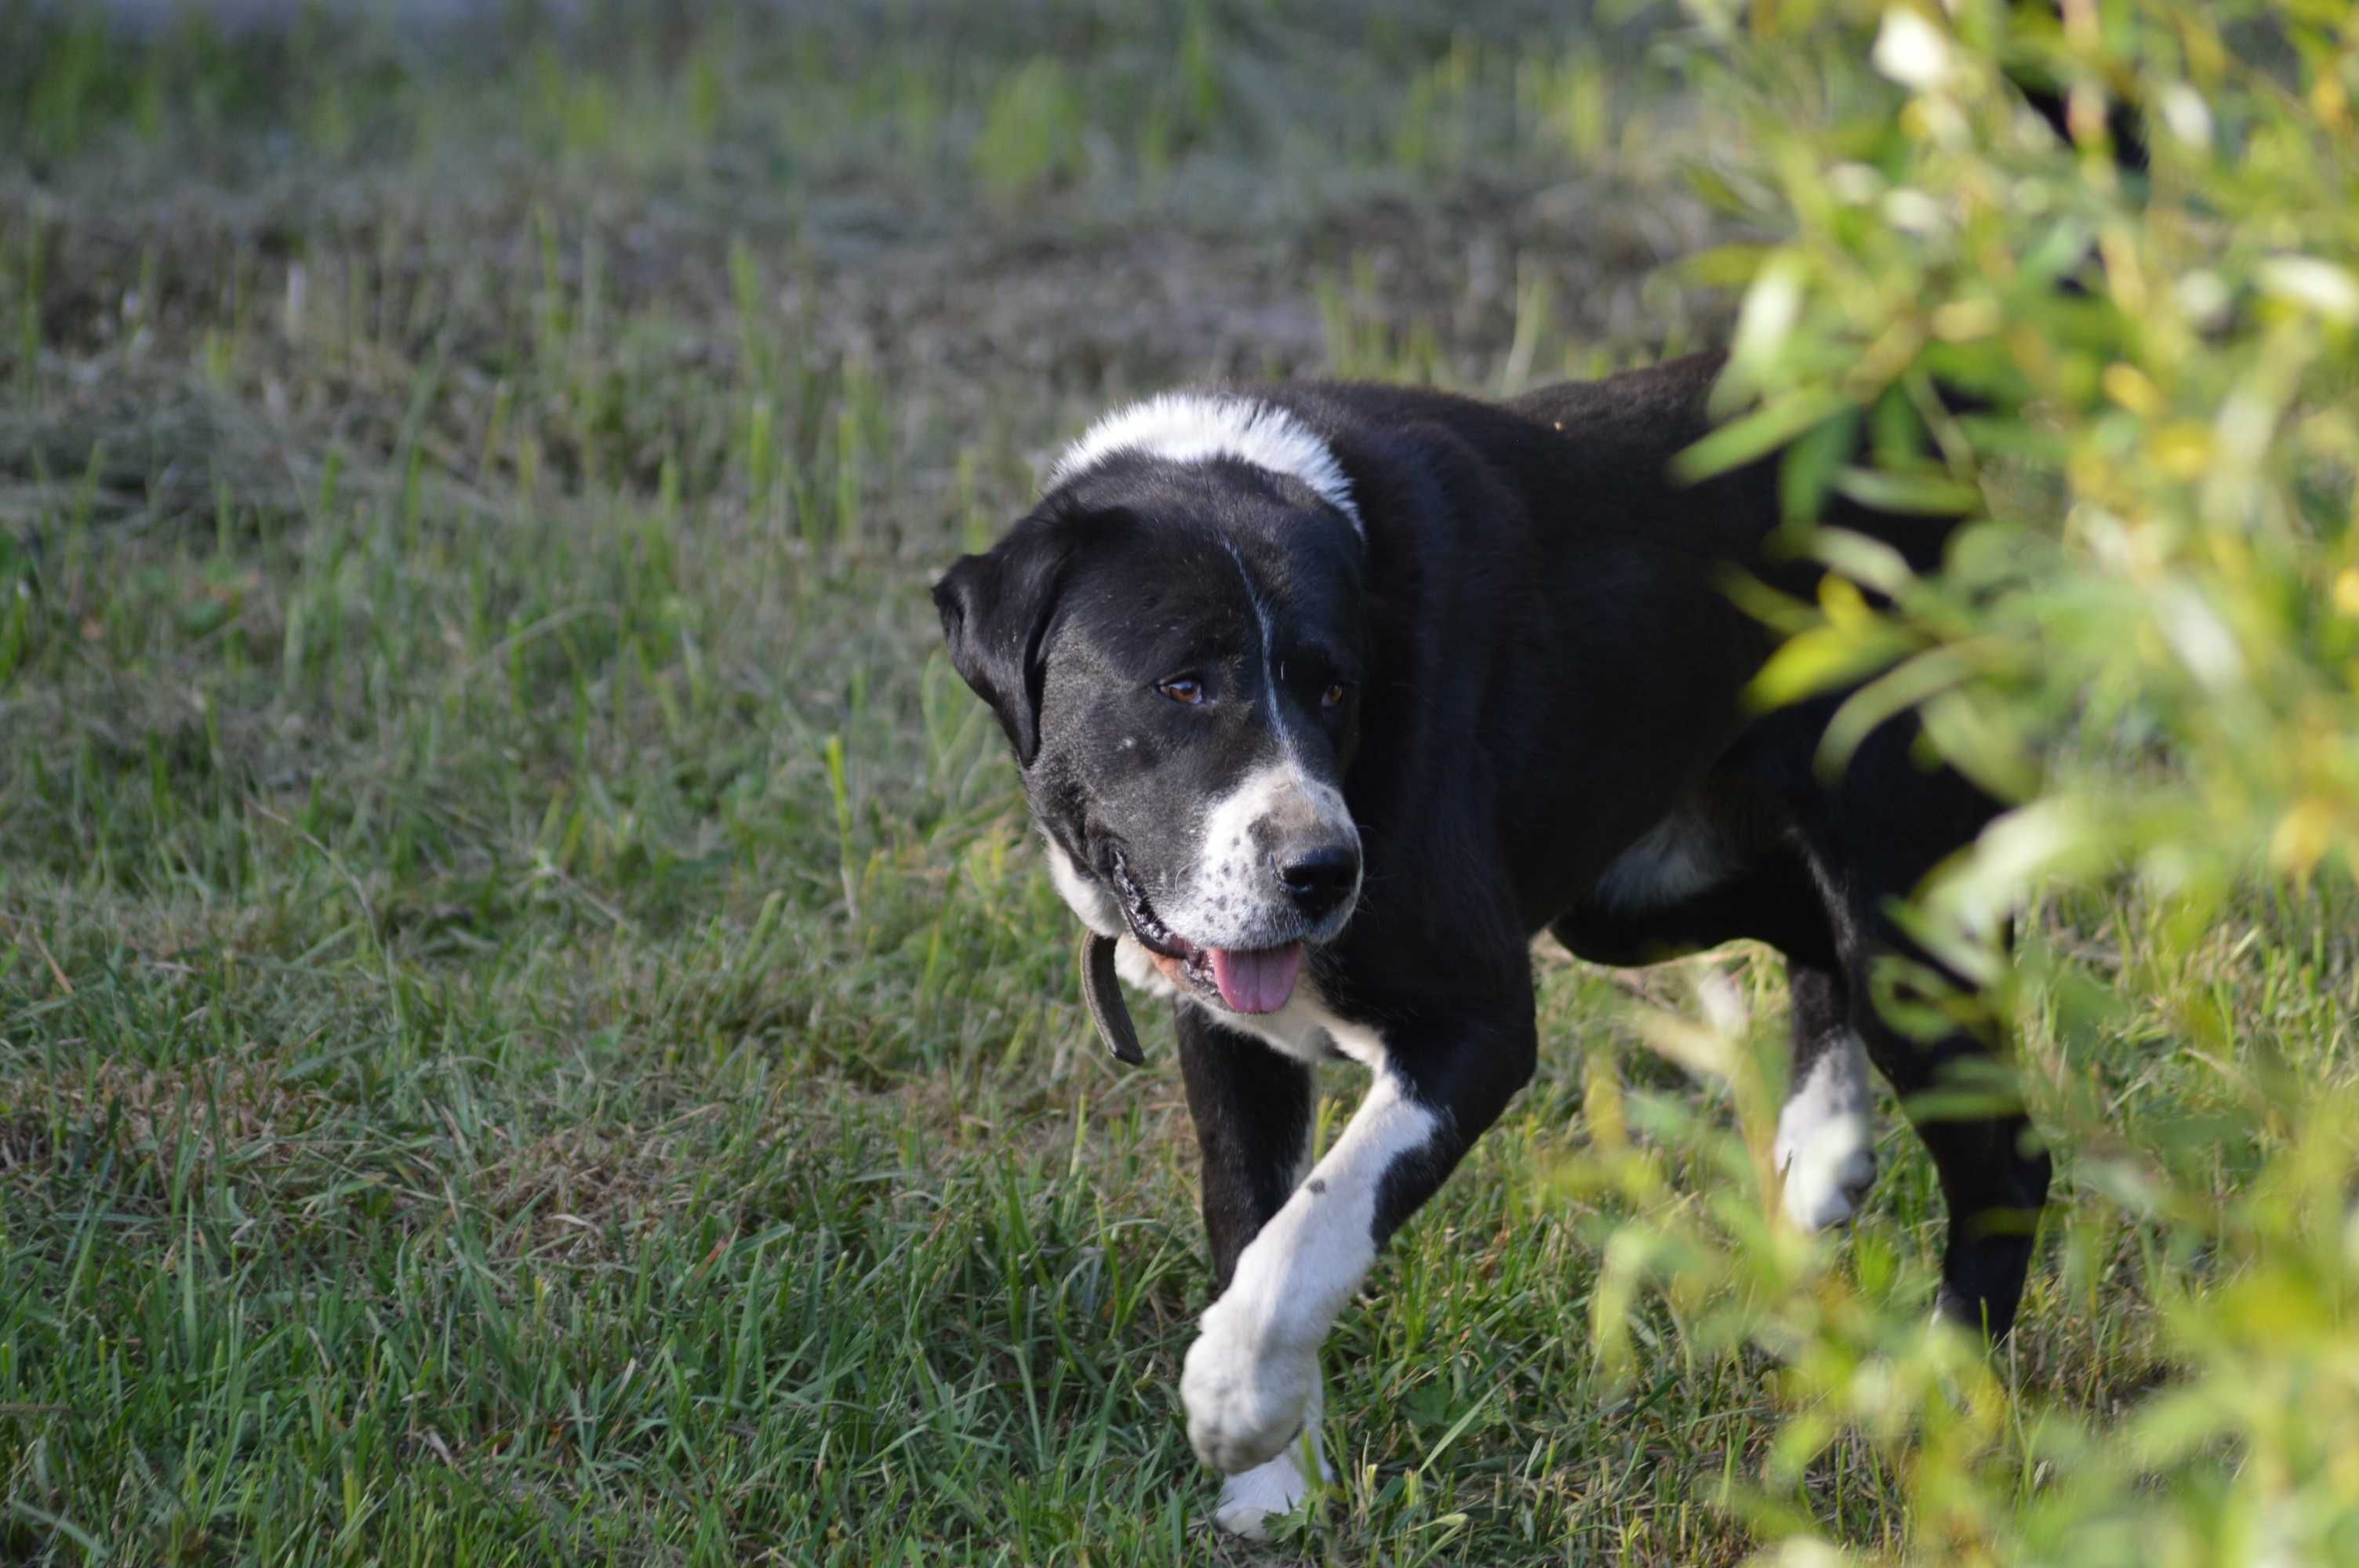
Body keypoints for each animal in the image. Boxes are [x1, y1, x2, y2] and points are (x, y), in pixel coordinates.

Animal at [929, 351, 2056, 1527]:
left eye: (1336, 687)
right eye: (1182, 684)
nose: (1325, 873)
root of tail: (1904, 398)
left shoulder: (1474, 1024)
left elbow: (1312, 1229)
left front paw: (1235, 1401)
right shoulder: (1232, 1028)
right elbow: (1249, 1218)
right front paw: (1273, 1485)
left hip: (1900, 895)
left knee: (2006, 1158)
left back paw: (1942, 1406)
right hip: (1637, 901)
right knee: (1806, 929)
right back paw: (1823, 1148)